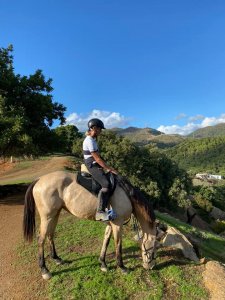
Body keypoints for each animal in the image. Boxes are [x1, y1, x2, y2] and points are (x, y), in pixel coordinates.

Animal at [22, 170, 156, 280]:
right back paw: (44, 270)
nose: (151, 266)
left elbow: (106, 240)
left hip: (55, 214)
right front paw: (122, 267)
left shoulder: (111, 223)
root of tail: (39, 179)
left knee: (50, 234)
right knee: (41, 239)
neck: (126, 194)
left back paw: (57, 259)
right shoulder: (118, 223)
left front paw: (103, 263)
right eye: (154, 246)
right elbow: (118, 243)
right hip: (47, 217)